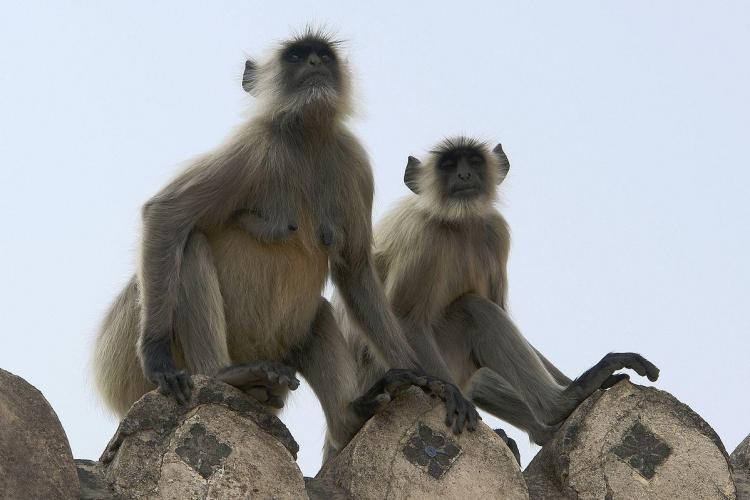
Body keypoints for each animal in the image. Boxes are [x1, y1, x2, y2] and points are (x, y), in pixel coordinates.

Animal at [92, 29, 478, 456]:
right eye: (296, 56)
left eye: (322, 55)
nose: (314, 64)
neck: (305, 139)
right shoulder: (252, 146)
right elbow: (165, 214)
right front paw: (158, 359)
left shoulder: (353, 161)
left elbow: (356, 268)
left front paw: (431, 381)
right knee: (190, 244)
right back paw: (224, 375)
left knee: (320, 312)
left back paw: (351, 416)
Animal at [334, 136, 659, 449]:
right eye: (448, 165)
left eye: (474, 161)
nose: (464, 174)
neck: (459, 222)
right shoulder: (423, 236)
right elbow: (406, 319)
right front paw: (451, 394)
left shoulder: (495, 231)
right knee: (473, 309)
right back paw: (562, 403)